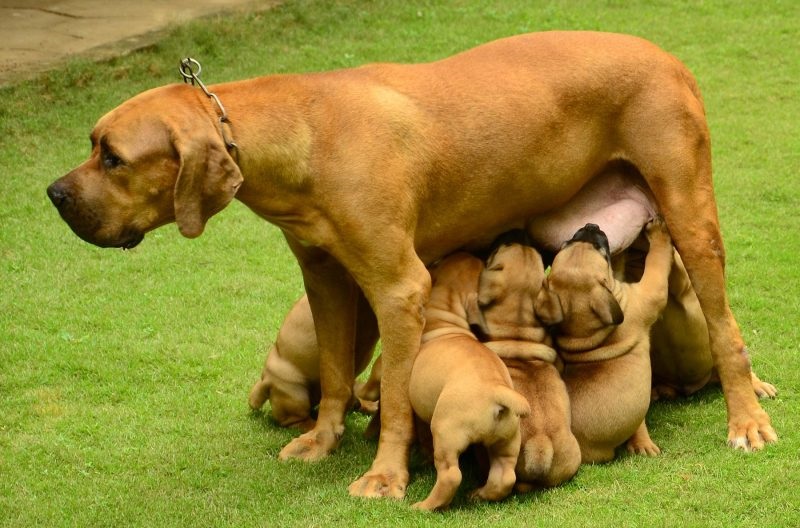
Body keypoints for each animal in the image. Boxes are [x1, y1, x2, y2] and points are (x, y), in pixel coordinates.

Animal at [410, 253, 528, 512]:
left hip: (445, 433)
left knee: (451, 475)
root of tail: (497, 390)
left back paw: (425, 506)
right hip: (507, 440)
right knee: (505, 475)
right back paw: (479, 494)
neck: (447, 315)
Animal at [536, 219, 676, 462]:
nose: (590, 225)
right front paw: (658, 232)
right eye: (599, 250)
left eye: (567, 242)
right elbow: (656, 261)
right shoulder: (648, 293)